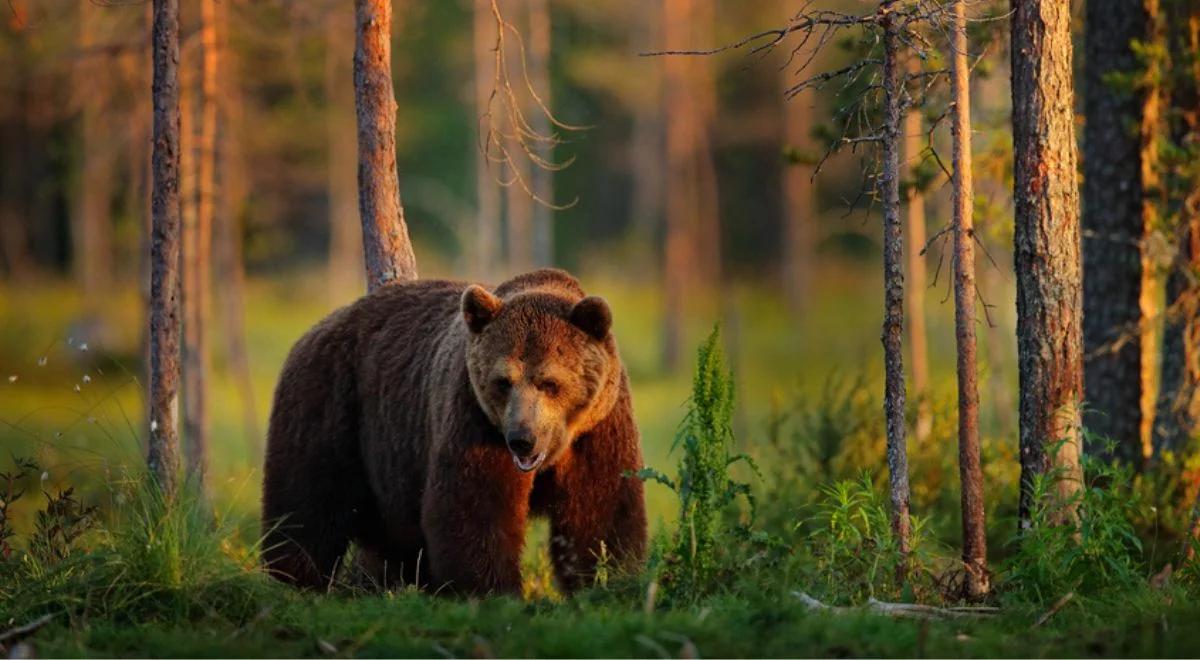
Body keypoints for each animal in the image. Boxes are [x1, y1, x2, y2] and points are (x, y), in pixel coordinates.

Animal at [258, 266, 643, 597]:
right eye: (502, 381)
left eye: (550, 382)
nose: (522, 438)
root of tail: (315, 328)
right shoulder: (474, 417)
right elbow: (476, 508)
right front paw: (492, 591)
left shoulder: (598, 428)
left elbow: (601, 511)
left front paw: (608, 580)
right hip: (332, 401)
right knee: (308, 501)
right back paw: (295, 578)